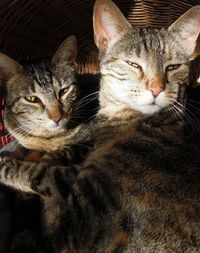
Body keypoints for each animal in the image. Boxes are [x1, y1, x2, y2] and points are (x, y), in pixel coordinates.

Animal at [0, 0, 200, 252]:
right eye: (133, 64)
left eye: (173, 67)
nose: (156, 89)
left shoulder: (74, 187)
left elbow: (39, 172)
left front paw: (8, 165)